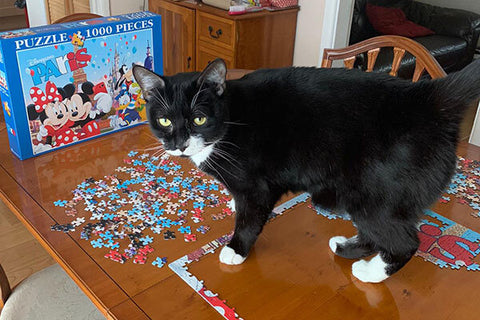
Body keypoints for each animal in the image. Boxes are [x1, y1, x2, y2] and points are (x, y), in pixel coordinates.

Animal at [133, 59, 480, 282]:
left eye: (199, 119)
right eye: (164, 120)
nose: (179, 144)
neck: (229, 120)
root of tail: (426, 98)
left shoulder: (256, 186)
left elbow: (250, 217)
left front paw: (236, 249)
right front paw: (231, 202)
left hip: (375, 192)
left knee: (402, 241)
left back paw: (370, 273)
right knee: (378, 232)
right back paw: (347, 248)